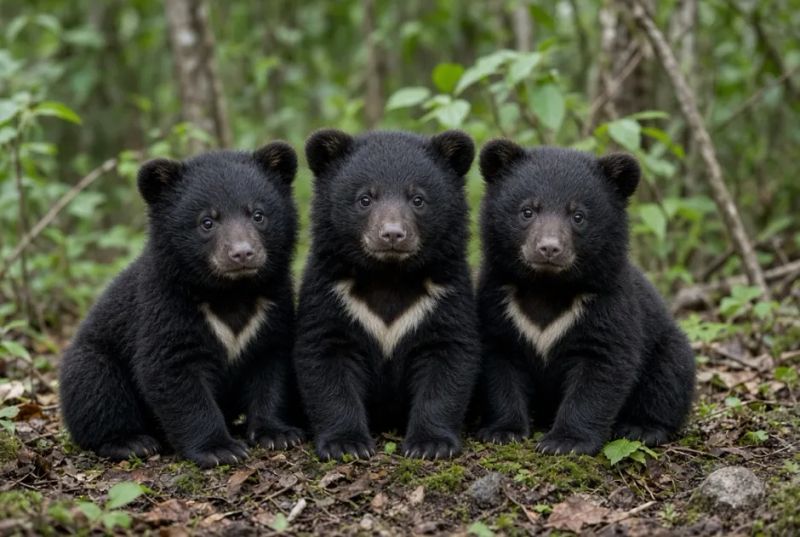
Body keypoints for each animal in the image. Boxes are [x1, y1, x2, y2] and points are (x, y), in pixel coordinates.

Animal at [59, 142, 304, 467]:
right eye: (207, 222)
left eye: (258, 215)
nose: (242, 253)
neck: (230, 292)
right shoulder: (167, 306)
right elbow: (173, 371)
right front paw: (219, 448)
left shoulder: (272, 307)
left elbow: (271, 366)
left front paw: (278, 433)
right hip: (90, 360)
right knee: (96, 389)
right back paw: (131, 442)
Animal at [294, 129, 481, 460]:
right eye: (365, 199)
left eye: (418, 199)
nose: (392, 234)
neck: (388, 273)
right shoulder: (331, 292)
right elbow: (326, 355)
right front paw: (347, 444)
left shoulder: (443, 293)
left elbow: (447, 357)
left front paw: (430, 444)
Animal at [474, 140, 695, 455]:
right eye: (527, 211)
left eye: (578, 216)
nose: (549, 248)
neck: (547, 286)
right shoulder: (500, 303)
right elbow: (500, 363)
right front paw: (503, 431)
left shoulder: (606, 303)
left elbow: (600, 368)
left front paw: (565, 442)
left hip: (667, 347)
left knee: (669, 377)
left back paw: (641, 428)